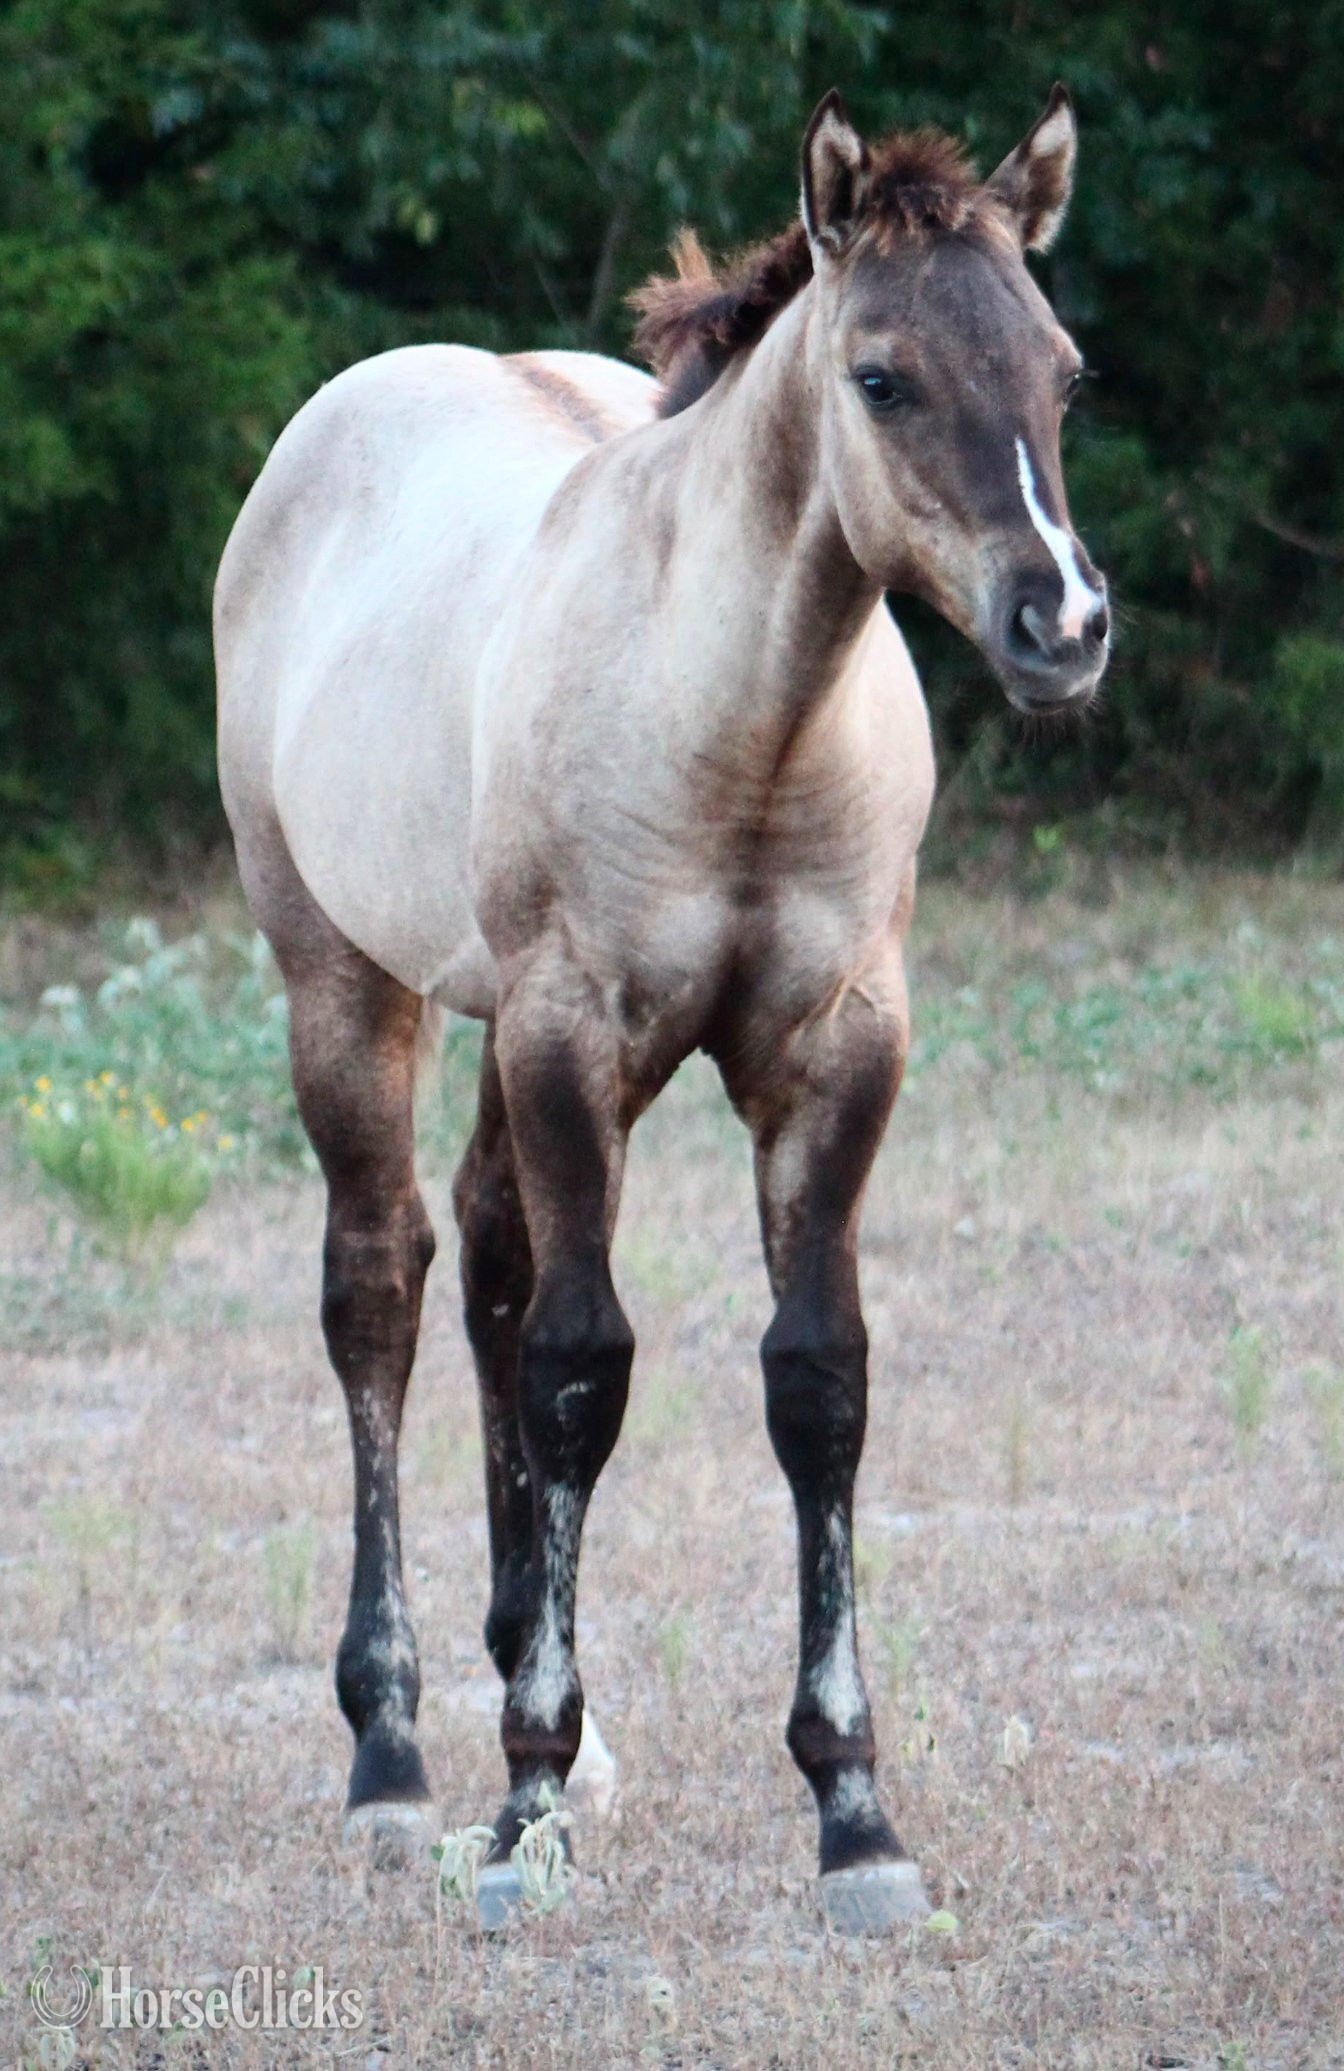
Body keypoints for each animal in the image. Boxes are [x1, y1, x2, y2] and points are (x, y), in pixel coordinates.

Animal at [215, 83, 1109, 1934]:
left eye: (1062, 371)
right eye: (881, 377)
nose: (1060, 623)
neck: (743, 724)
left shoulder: (837, 1054)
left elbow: (816, 1381)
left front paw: (855, 1816)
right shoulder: (575, 1034)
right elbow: (580, 1369)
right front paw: (522, 1808)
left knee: (486, 1257)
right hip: (347, 980)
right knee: (384, 1289)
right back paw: (397, 1754)